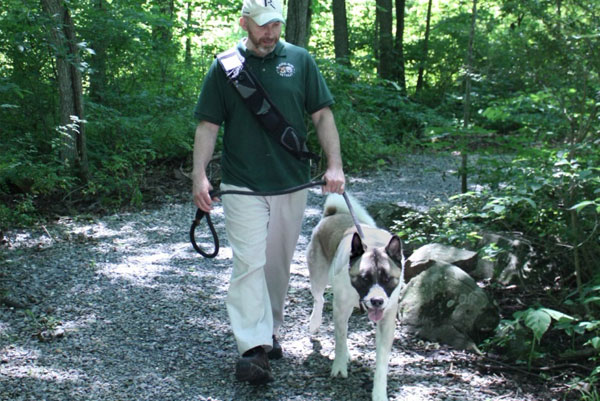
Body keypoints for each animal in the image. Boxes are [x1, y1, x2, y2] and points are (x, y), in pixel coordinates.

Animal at [308, 192, 406, 398]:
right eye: (364, 278)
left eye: (387, 279)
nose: (377, 301)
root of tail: (332, 214)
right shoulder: (340, 307)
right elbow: (339, 338)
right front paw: (339, 366)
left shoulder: (387, 321)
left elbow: (382, 361)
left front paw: (379, 393)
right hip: (318, 277)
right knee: (320, 299)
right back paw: (315, 323)